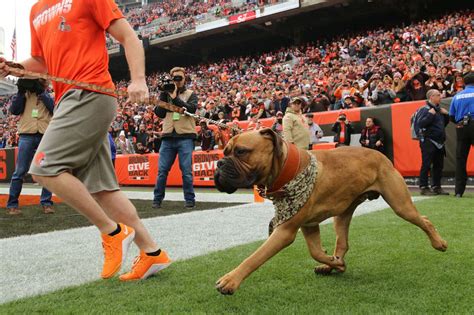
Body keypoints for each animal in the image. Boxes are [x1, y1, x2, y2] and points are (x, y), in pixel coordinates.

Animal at [213, 128, 446, 296]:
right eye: (224, 152)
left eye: (241, 151)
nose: (219, 163)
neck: (286, 170)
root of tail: (380, 154)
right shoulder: (308, 226)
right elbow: (315, 251)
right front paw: (333, 262)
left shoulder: (285, 231)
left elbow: (255, 257)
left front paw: (230, 280)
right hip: (342, 214)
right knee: (342, 243)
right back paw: (332, 265)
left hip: (400, 204)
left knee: (424, 219)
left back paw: (439, 243)